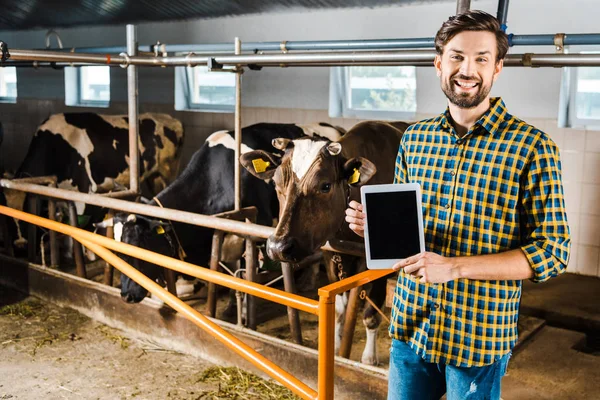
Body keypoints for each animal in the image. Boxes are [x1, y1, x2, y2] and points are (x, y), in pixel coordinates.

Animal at [3, 111, 184, 252]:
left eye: (26, 207)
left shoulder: (83, 191)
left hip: (168, 173)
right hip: (154, 177)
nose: (20, 244)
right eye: (6, 213)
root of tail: (171, 118)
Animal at [239, 119, 408, 366]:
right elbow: (338, 309)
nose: (278, 247)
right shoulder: (331, 254)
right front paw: (335, 347)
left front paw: (369, 357)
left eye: (325, 186)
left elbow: (370, 313)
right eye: (276, 183)